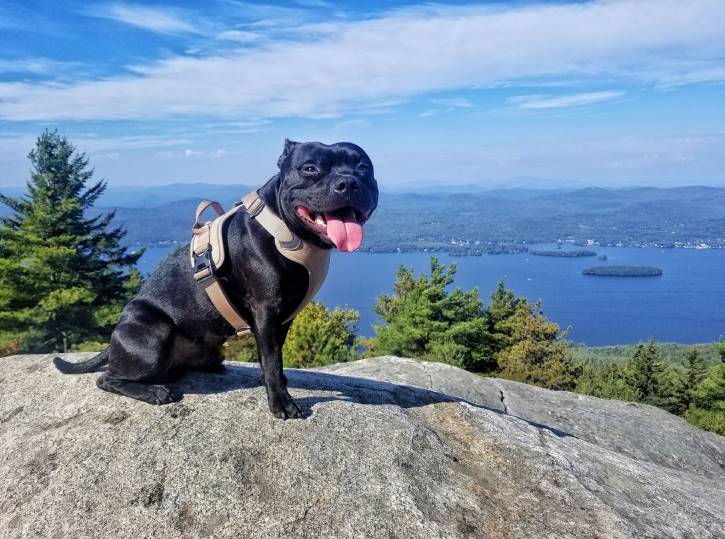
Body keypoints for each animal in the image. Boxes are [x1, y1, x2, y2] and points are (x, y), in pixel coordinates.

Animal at [56, 139, 378, 418]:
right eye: (310, 168)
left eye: (363, 167)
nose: (348, 182)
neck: (287, 232)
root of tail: (114, 341)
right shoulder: (266, 311)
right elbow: (271, 360)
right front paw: (281, 401)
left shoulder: (284, 316)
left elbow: (274, 357)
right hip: (153, 336)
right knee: (107, 379)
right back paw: (153, 391)